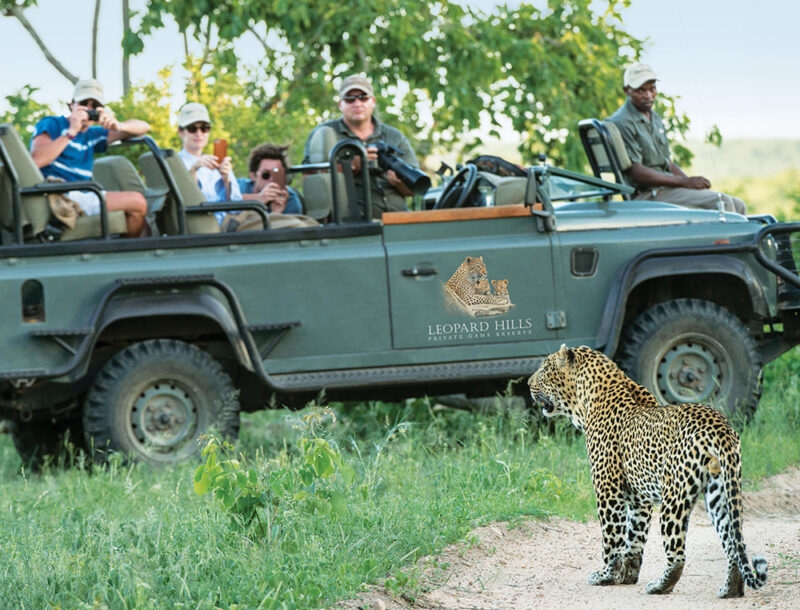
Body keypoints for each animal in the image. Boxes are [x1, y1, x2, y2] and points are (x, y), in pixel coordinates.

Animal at [528, 344, 767, 598]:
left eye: (544, 369)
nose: (528, 383)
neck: (586, 401)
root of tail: (719, 425)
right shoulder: (638, 498)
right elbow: (635, 537)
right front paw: (627, 575)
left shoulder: (608, 491)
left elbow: (611, 538)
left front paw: (606, 576)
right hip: (720, 492)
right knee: (732, 542)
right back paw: (730, 589)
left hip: (674, 497)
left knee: (678, 553)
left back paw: (660, 585)